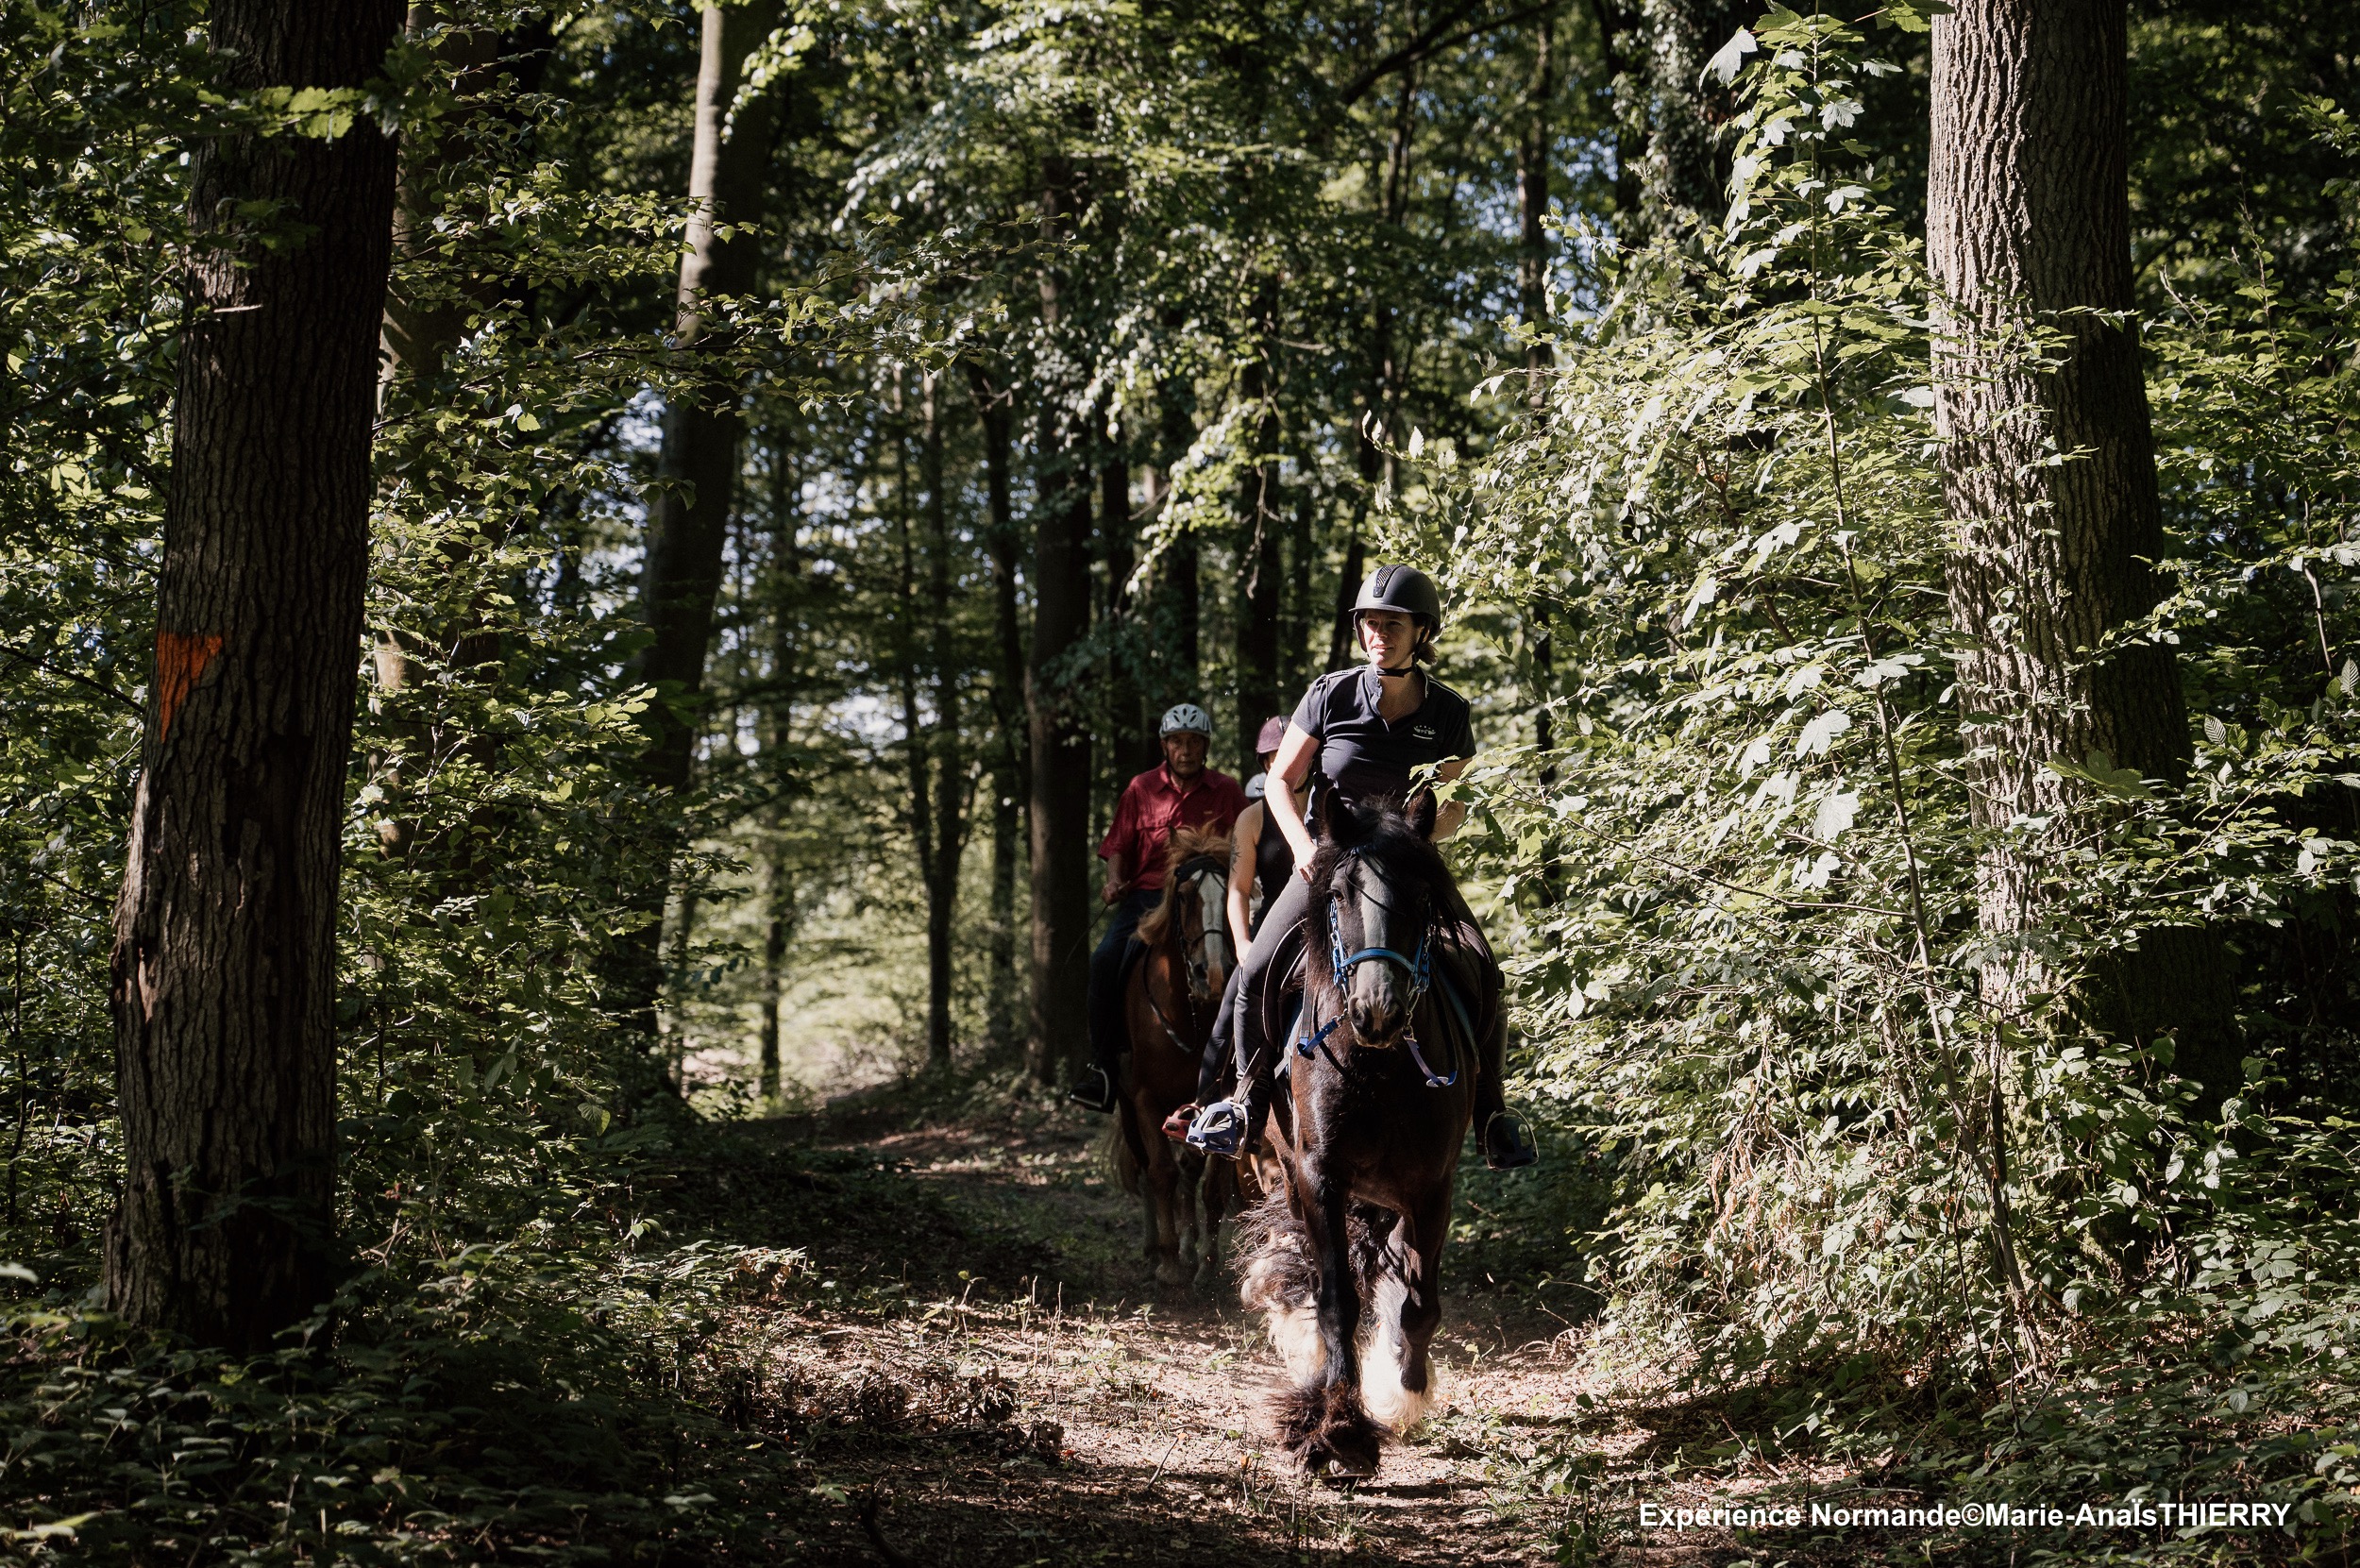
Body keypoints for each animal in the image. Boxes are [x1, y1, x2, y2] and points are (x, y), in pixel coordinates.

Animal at [1110, 826, 1241, 1290]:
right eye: (1183, 896)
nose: (1214, 973)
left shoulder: (1219, 1101)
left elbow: (1210, 1184)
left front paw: (1205, 1262)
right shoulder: (1144, 1098)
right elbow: (1160, 1172)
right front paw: (1167, 1262)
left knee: (1188, 1168)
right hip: (1127, 1102)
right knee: (1145, 1165)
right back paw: (1155, 1247)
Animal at [1233, 787, 1494, 1477]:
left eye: (1424, 895)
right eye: (1340, 892)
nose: (1378, 1010)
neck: (1378, 1065)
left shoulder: (1431, 1188)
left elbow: (1419, 1306)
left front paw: (1400, 1392)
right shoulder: (1319, 1176)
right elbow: (1336, 1300)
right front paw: (1339, 1427)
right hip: (1292, 1171)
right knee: (1319, 1271)